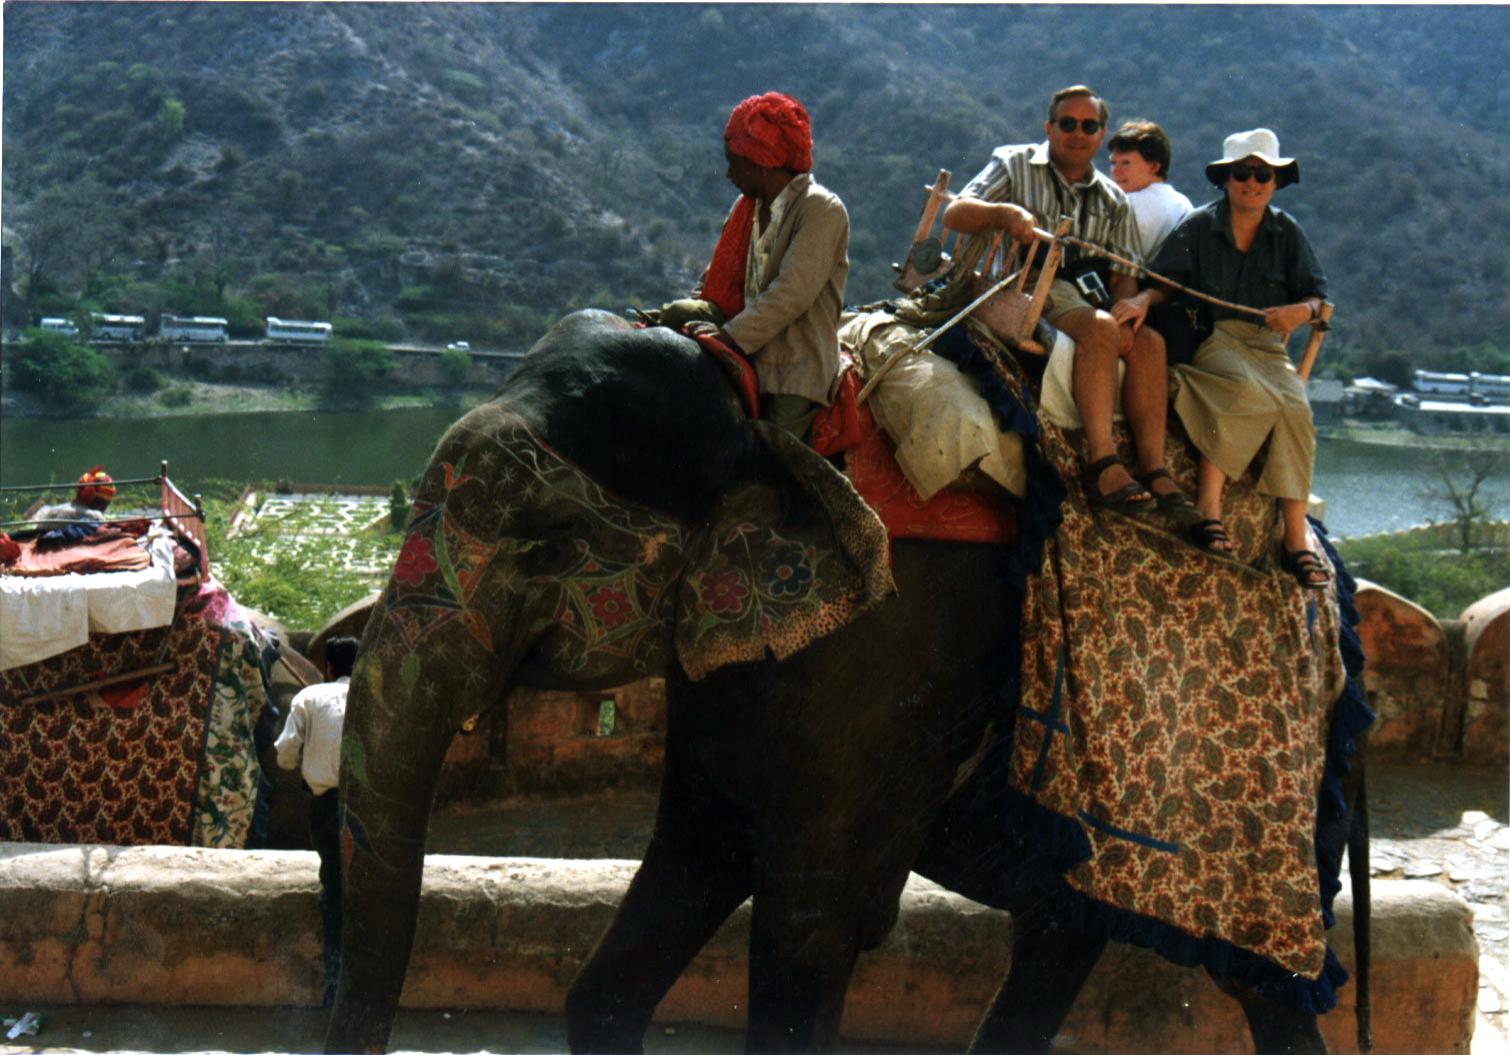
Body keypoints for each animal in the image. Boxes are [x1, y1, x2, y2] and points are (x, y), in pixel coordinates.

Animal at [324, 309, 1365, 1050]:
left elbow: (810, 936)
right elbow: (674, 889)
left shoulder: (882, 658)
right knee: (1063, 930)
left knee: (1250, 972)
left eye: (545, 539)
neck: (769, 422)